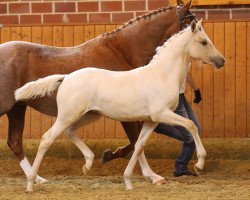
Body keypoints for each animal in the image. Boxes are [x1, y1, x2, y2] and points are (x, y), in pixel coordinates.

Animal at [0, 0, 194, 183]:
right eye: (191, 21)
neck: (122, 52)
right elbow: (136, 141)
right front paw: (150, 175)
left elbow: (137, 141)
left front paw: (110, 155)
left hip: (17, 108)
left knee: (15, 142)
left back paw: (37, 179)